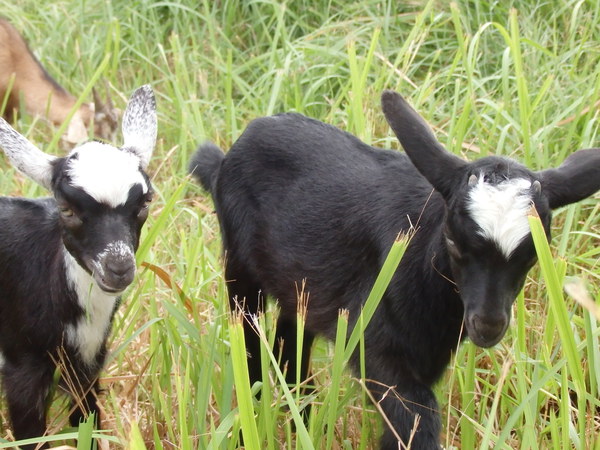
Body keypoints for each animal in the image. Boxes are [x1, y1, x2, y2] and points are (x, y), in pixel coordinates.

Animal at [0, 84, 157, 446]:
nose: (118, 268)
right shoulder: (21, 369)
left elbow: (87, 421)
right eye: (66, 208)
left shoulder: (88, 364)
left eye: (145, 202)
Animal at [189, 89, 600, 448]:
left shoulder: (429, 353)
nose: (488, 325)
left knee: (291, 343)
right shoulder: (375, 342)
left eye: (532, 255)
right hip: (240, 269)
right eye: (453, 242)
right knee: (249, 340)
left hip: (299, 286)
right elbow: (416, 416)